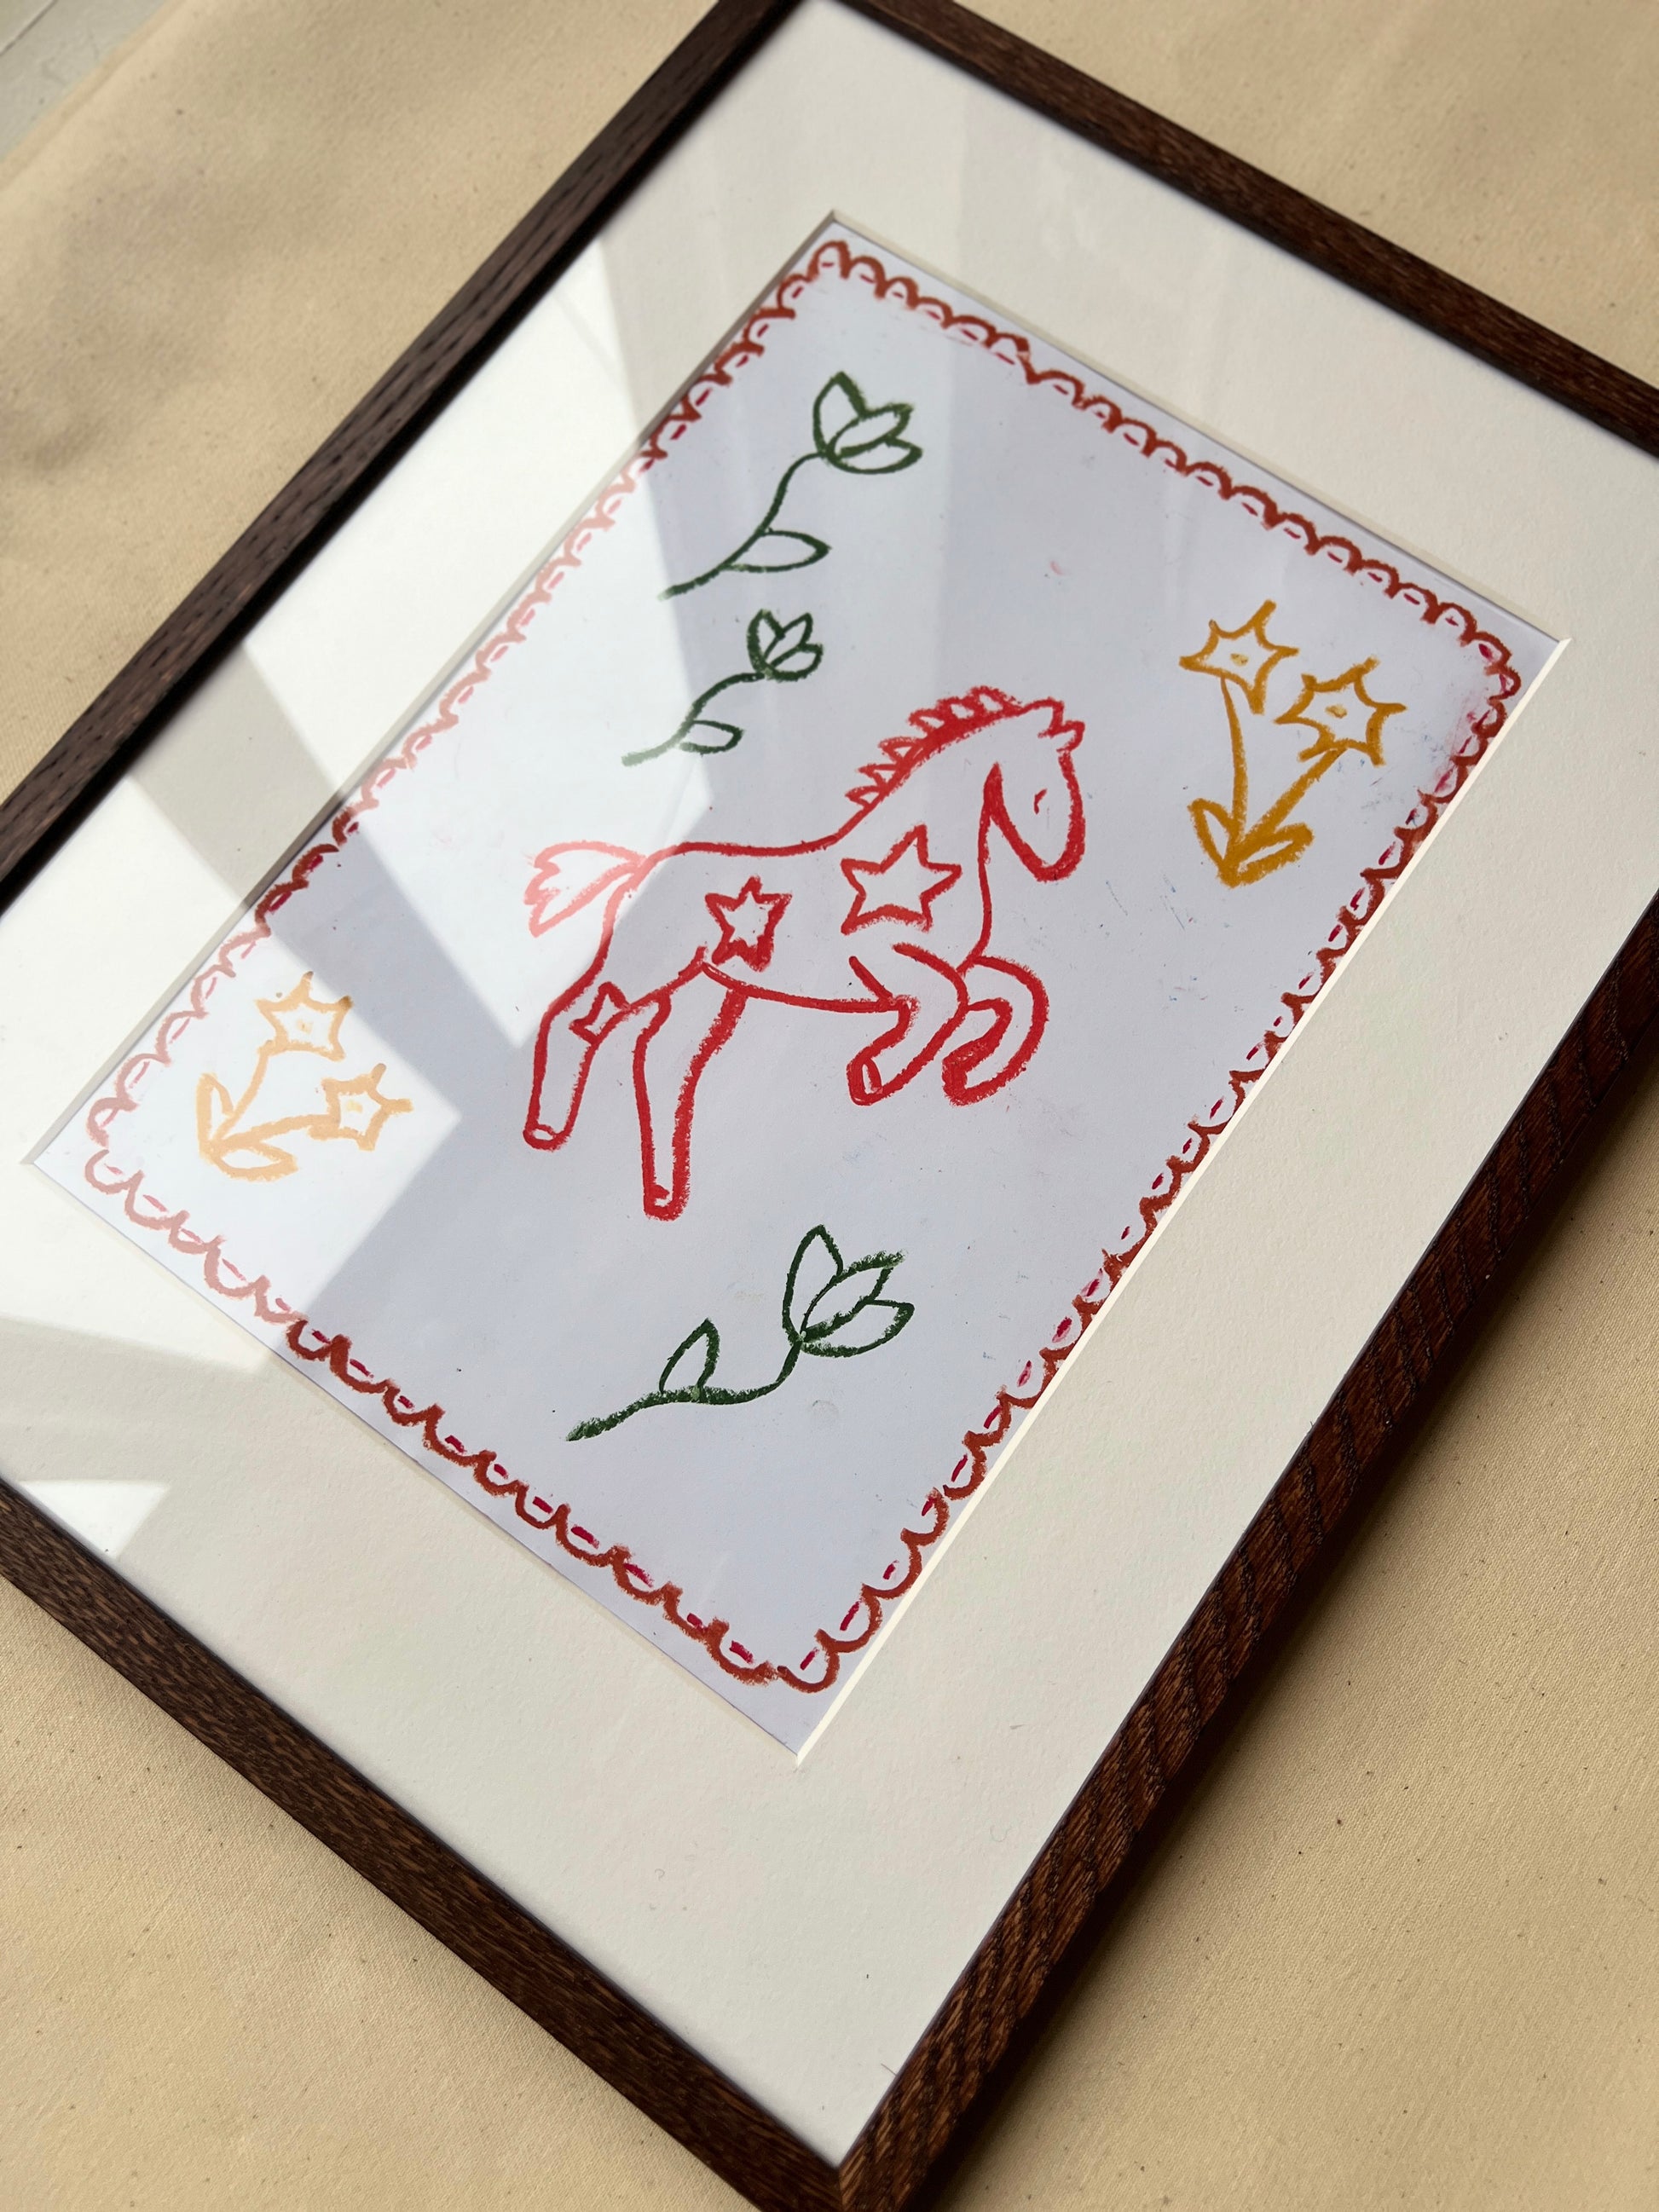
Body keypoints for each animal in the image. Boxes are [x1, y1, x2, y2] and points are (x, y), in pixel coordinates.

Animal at [521, 685, 1086, 1220]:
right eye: (1044, 792)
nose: (1056, 860)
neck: (919, 851)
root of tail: (640, 868)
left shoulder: (957, 962)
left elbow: (1015, 993)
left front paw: (967, 1072)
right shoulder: (884, 962)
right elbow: (952, 998)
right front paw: (877, 1073)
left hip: (709, 989)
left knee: (658, 1062)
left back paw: (662, 1193)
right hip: (644, 974)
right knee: (576, 1020)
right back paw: (548, 1130)